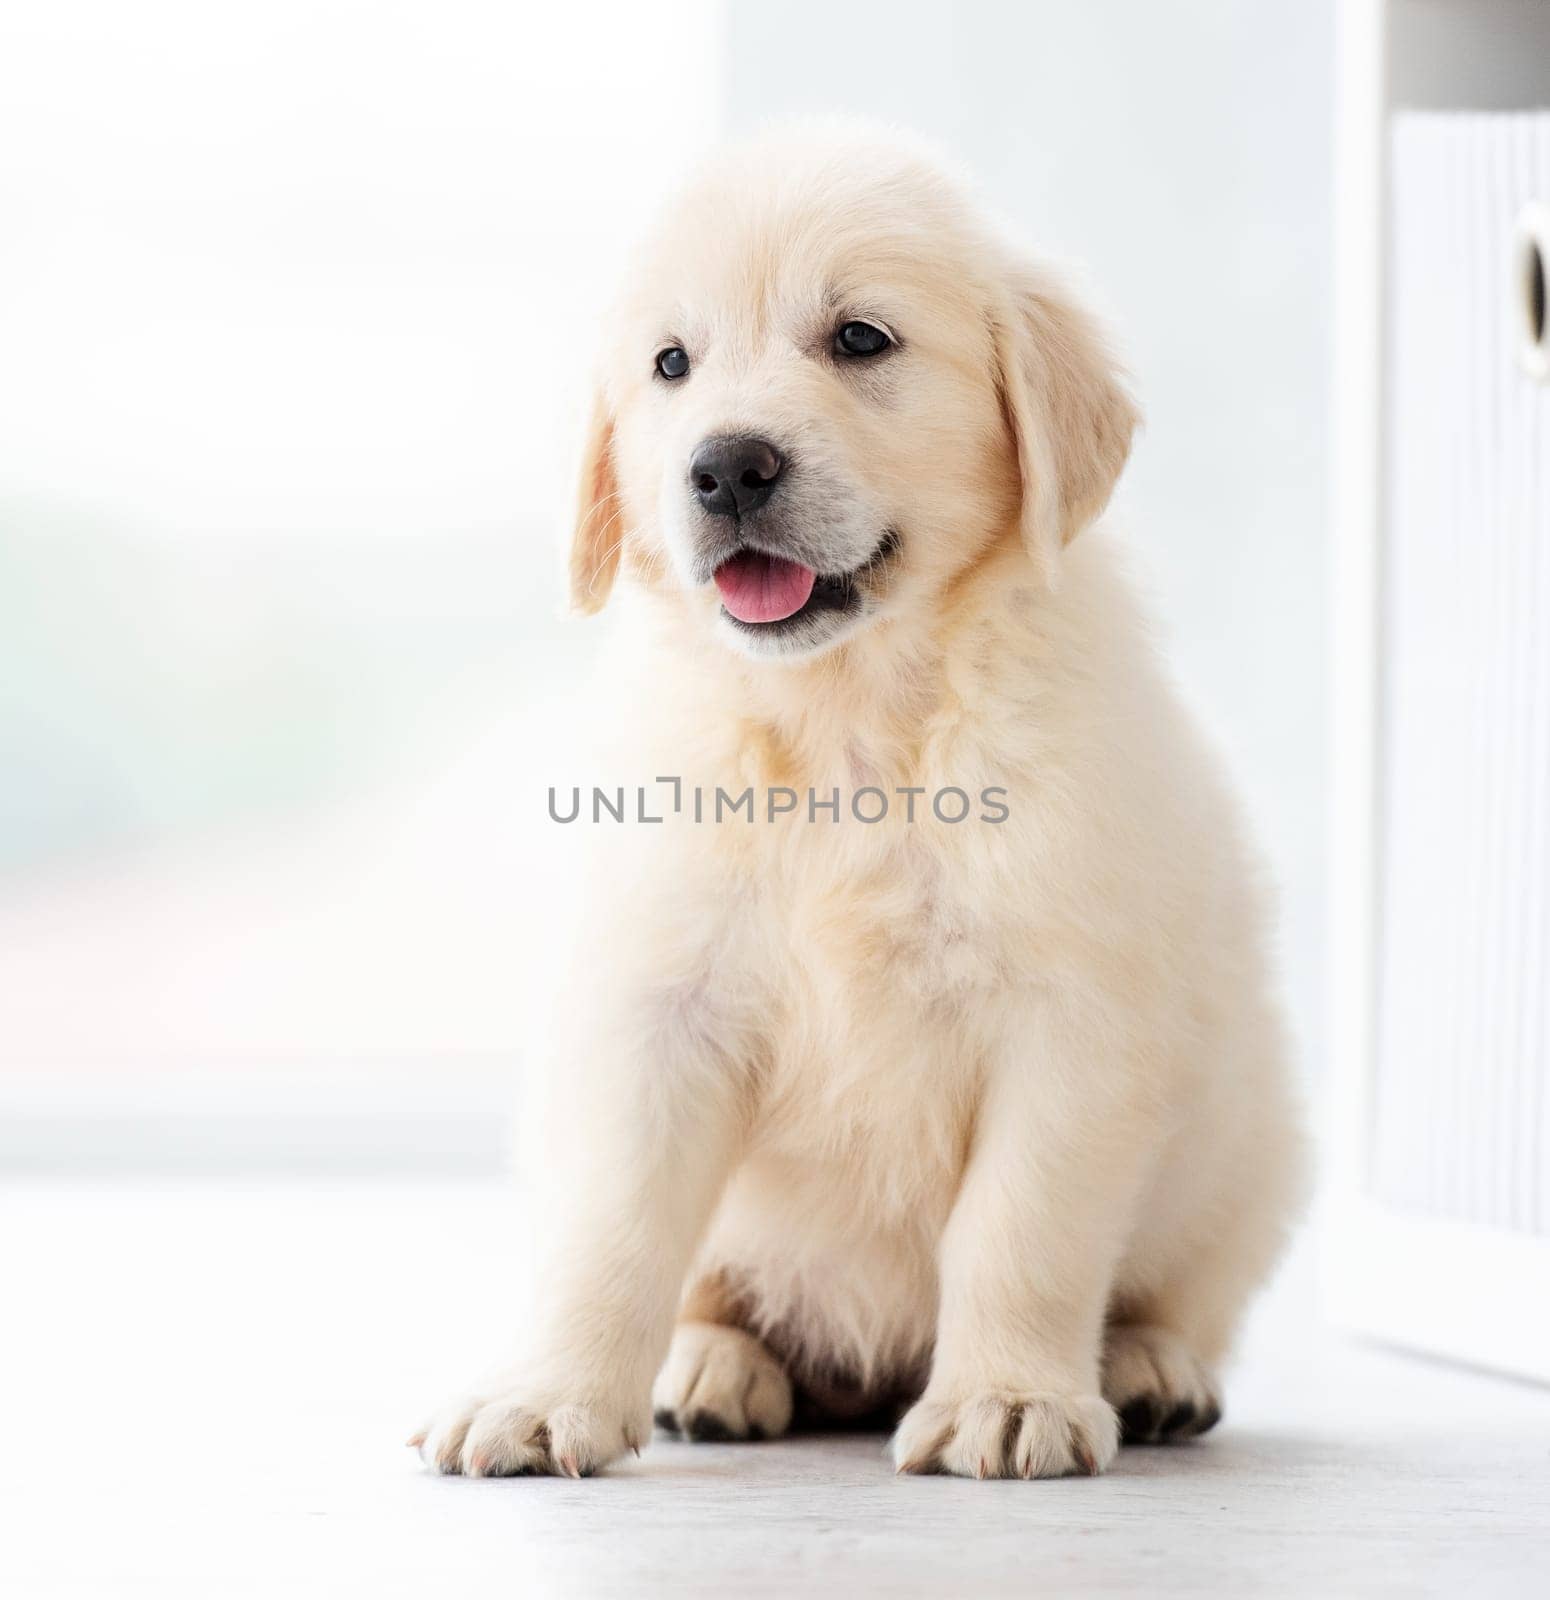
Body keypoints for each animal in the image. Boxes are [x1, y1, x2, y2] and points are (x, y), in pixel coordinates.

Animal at [415, 124, 1305, 1484]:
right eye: (670, 364)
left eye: (859, 339)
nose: (725, 466)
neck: (848, 720)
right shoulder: (656, 1011)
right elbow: (613, 1229)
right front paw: (547, 1393)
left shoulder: (1071, 1023)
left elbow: (1018, 1228)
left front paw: (1006, 1395)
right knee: (717, 1290)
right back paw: (708, 1368)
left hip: (1247, 1152)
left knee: (1179, 1292)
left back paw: (1149, 1367)